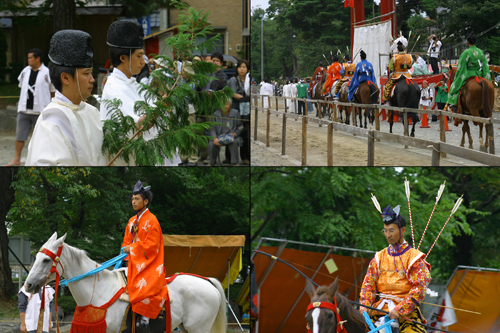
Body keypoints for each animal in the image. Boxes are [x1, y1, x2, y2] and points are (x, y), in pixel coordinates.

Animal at [23, 232, 227, 330]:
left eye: (46, 260)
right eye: (36, 257)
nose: (28, 285)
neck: (96, 294)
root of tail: (208, 281)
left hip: (199, 328)